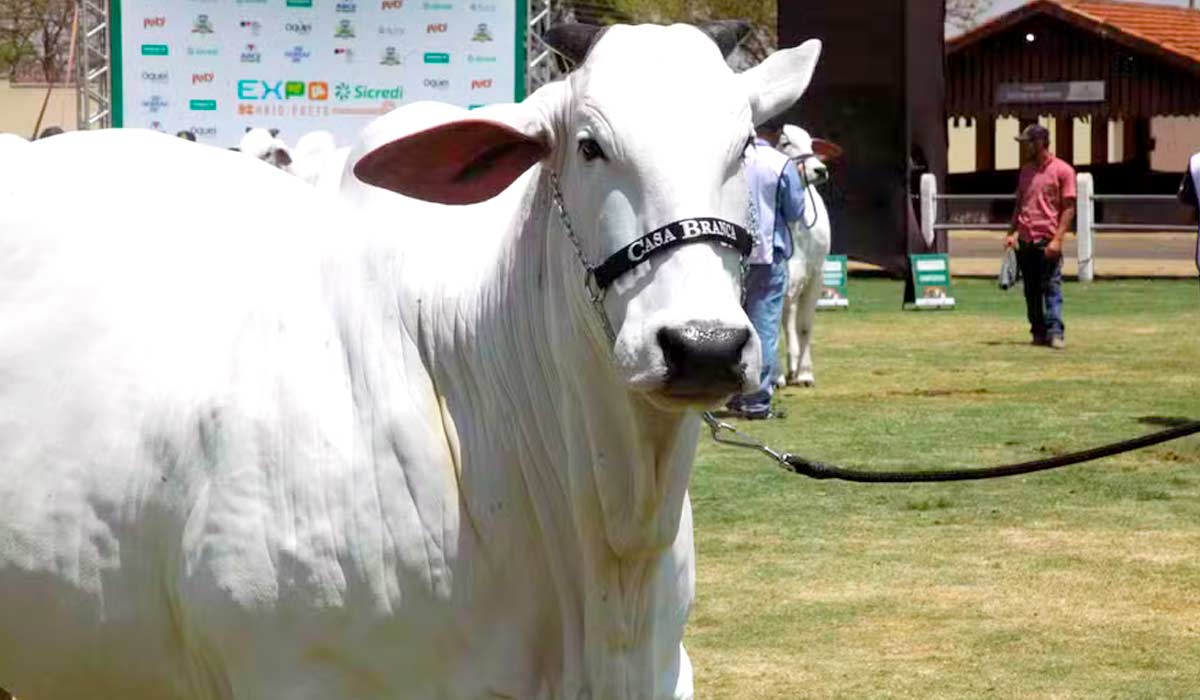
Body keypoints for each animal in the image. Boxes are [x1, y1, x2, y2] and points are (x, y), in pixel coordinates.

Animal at [772, 123, 840, 386]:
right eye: (785, 143)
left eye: (811, 144)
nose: (819, 170)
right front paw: (776, 376)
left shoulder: (815, 276)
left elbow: (804, 326)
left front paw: (804, 373)